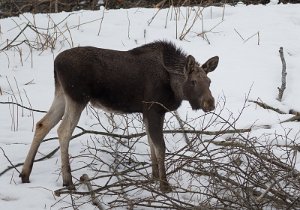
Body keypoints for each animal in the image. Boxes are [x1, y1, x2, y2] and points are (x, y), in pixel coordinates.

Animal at [19, 40, 219, 193]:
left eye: (209, 81)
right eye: (193, 82)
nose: (210, 103)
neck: (173, 85)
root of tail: (55, 63)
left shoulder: (149, 112)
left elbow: (151, 144)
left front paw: (154, 177)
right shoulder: (153, 109)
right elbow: (160, 147)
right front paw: (164, 185)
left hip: (62, 94)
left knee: (42, 124)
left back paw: (25, 174)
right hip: (78, 97)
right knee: (63, 130)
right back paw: (68, 181)